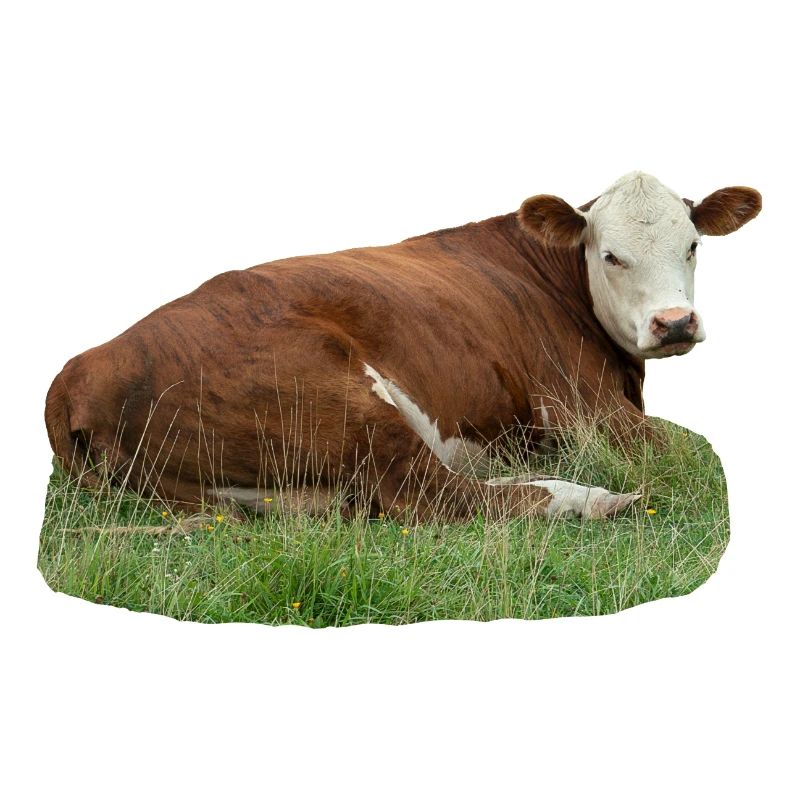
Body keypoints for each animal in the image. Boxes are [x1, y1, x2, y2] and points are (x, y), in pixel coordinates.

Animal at [45, 172, 761, 521]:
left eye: (693, 245)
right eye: (610, 255)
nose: (675, 323)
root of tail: (80, 369)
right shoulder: (584, 409)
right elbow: (683, 452)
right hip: (343, 405)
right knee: (438, 498)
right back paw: (589, 498)